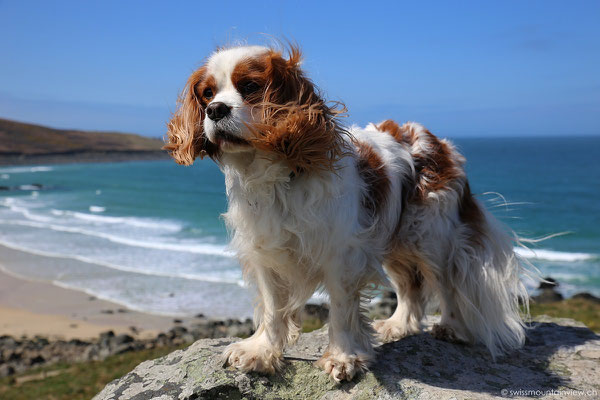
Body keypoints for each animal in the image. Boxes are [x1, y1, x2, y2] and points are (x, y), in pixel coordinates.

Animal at [166, 43, 528, 382]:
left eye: (251, 86)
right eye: (207, 93)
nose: (215, 110)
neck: (278, 176)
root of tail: (434, 140)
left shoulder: (342, 253)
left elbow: (340, 309)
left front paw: (343, 357)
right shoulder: (266, 250)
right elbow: (272, 307)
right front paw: (263, 351)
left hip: (430, 237)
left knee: (445, 283)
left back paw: (451, 327)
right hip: (394, 241)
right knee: (409, 286)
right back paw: (399, 325)